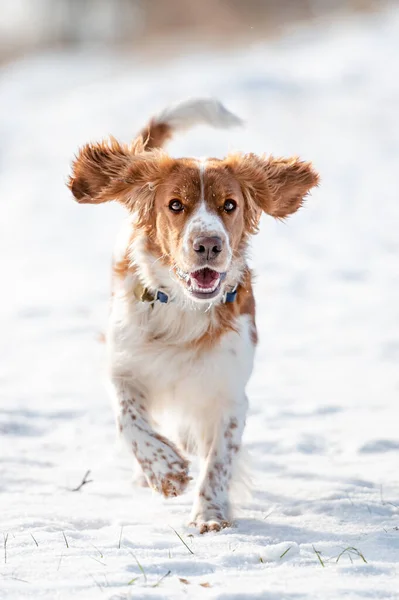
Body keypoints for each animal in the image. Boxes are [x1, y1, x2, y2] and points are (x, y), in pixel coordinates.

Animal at [68, 98, 318, 536]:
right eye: (175, 205)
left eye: (229, 205)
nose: (208, 244)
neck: (185, 310)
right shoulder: (123, 366)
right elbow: (129, 421)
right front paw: (165, 471)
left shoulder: (228, 391)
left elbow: (219, 458)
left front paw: (210, 514)